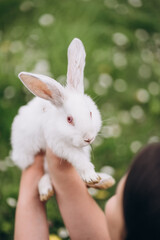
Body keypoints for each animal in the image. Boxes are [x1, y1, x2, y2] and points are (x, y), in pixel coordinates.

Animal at [10, 39, 102, 201]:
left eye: (90, 113)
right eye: (69, 119)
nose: (88, 138)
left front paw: (94, 179)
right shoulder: (58, 144)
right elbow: (78, 158)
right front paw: (91, 177)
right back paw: (45, 191)